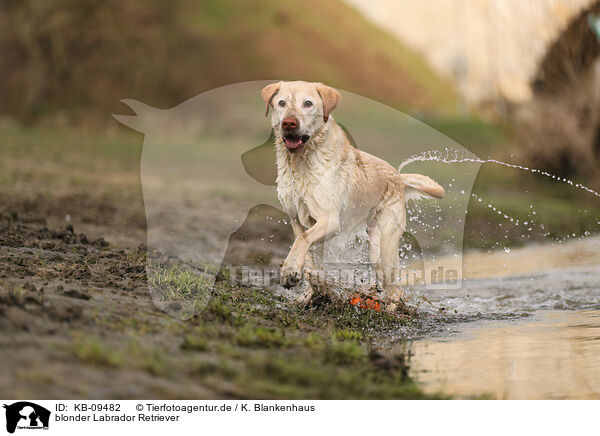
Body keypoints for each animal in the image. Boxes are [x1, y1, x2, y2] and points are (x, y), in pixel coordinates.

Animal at [260, 79, 442, 310]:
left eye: (308, 103)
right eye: (282, 103)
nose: (289, 123)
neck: (302, 161)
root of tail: (398, 178)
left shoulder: (330, 219)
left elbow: (303, 240)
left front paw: (290, 271)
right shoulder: (296, 219)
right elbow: (305, 248)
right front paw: (309, 281)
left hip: (382, 250)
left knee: (395, 288)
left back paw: (389, 310)